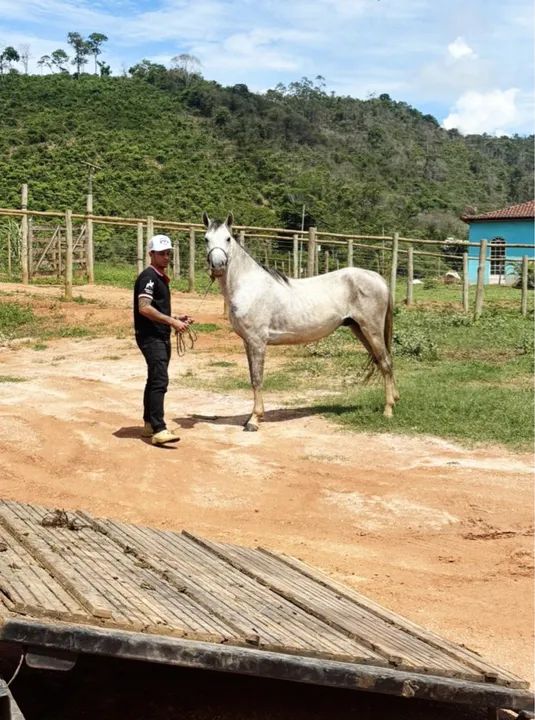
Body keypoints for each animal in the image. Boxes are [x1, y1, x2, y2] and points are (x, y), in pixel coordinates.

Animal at [203, 212, 399, 431]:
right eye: (206, 239)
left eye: (228, 238)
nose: (218, 266)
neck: (250, 287)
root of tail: (377, 278)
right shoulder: (247, 342)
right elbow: (253, 378)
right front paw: (251, 417)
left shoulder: (257, 342)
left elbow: (257, 378)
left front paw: (254, 420)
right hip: (359, 329)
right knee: (381, 361)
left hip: (371, 329)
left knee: (386, 362)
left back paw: (388, 410)